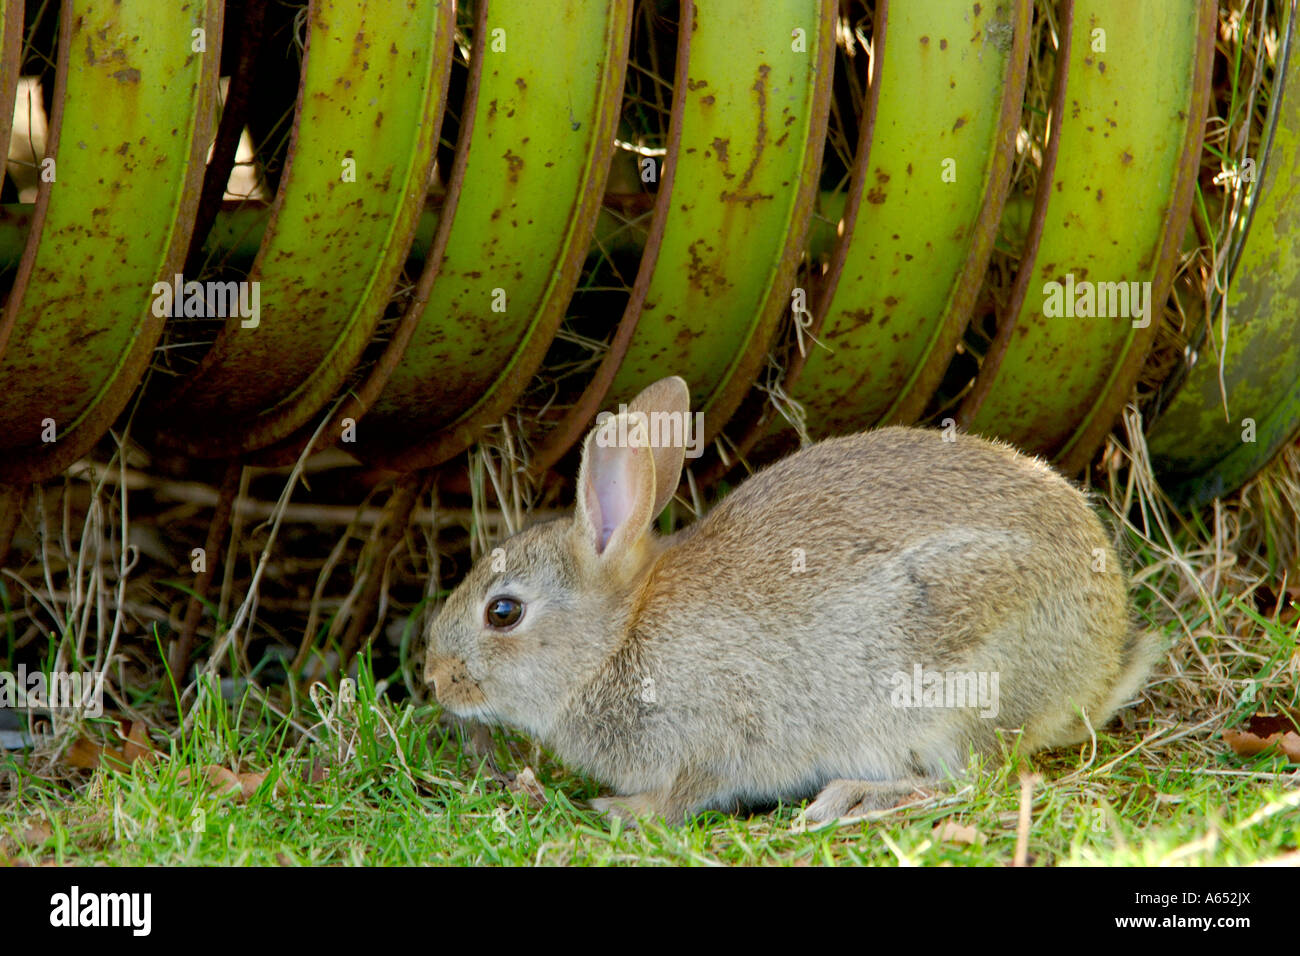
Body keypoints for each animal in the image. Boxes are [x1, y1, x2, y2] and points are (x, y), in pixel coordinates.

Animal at [425, 376, 1157, 823]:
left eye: (503, 612)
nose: (434, 678)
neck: (616, 639)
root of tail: (1097, 671)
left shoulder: (716, 733)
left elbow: (688, 790)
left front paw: (623, 812)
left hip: (958, 686)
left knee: (976, 777)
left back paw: (851, 797)